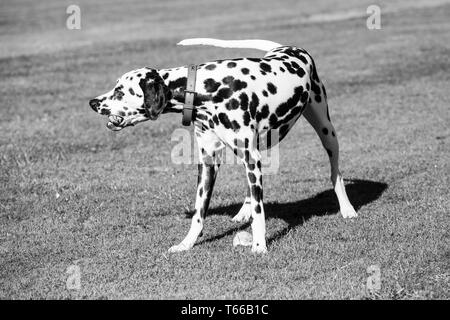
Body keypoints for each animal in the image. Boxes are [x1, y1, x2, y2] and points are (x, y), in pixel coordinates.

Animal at [90, 38, 358, 252]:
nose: (93, 102)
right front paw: (186, 244)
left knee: (335, 172)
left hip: (326, 131)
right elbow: (199, 214)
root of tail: (288, 48)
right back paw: (243, 211)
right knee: (252, 189)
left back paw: (347, 209)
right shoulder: (209, 163)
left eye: (120, 91)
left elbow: (260, 212)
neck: (204, 88)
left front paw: (259, 246)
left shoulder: (250, 157)